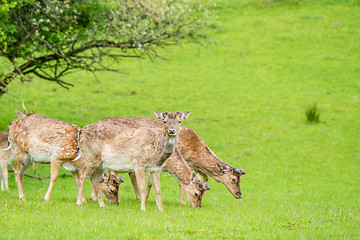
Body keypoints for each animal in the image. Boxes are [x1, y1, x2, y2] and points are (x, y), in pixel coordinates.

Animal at [102, 115, 246, 202]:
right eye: (233, 179)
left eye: (239, 179)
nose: (239, 194)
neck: (195, 152)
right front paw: (183, 202)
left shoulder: (195, 167)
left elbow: (203, 178)